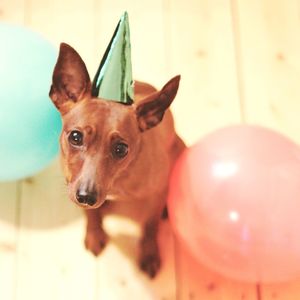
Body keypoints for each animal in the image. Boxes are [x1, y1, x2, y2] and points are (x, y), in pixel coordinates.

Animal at [49, 42, 185, 278]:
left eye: (121, 149)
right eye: (75, 137)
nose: (86, 196)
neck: (118, 181)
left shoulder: (157, 192)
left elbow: (150, 225)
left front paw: (149, 253)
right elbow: (91, 215)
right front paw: (94, 233)